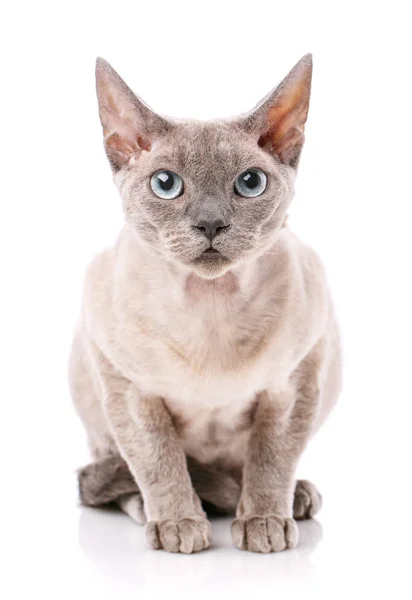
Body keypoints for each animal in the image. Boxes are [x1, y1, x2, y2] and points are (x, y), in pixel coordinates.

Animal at [70, 54, 342, 556]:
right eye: (166, 184)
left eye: (250, 183)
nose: (211, 223)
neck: (211, 307)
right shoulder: (131, 389)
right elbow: (158, 462)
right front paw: (179, 523)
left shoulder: (293, 384)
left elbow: (271, 460)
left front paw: (263, 521)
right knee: (114, 478)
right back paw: (162, 510)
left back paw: (291, 498)